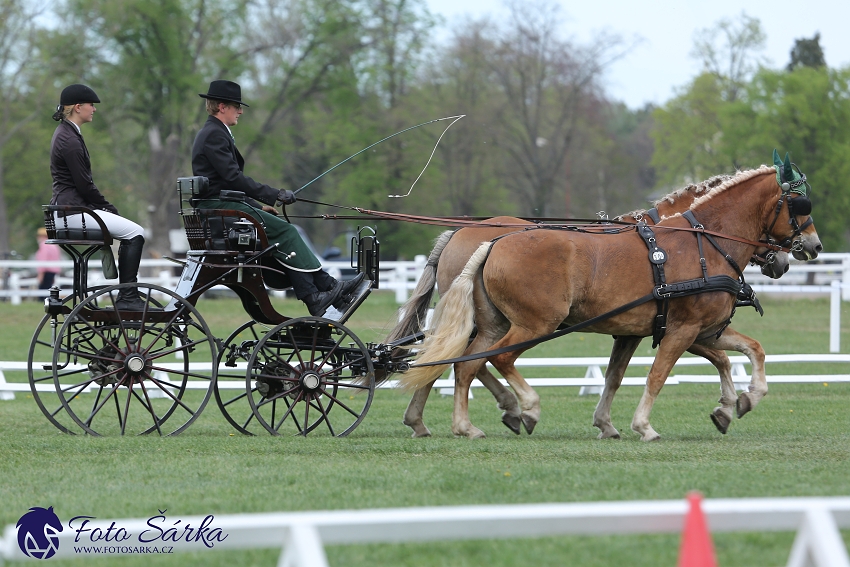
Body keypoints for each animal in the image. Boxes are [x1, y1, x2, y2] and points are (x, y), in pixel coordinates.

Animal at [400, 158, 820, 442]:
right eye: (799, 206)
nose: (812, 247)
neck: (706, 242)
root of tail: (493, 241)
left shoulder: (692, 331)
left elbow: (744, 352)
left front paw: (739, 403)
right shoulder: (683, 330)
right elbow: (658, 375)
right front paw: (643, 425)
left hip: (492, 324)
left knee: (464, 364)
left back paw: (460, 424)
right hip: (535, 324)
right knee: (495, 360)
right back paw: (525, 408)